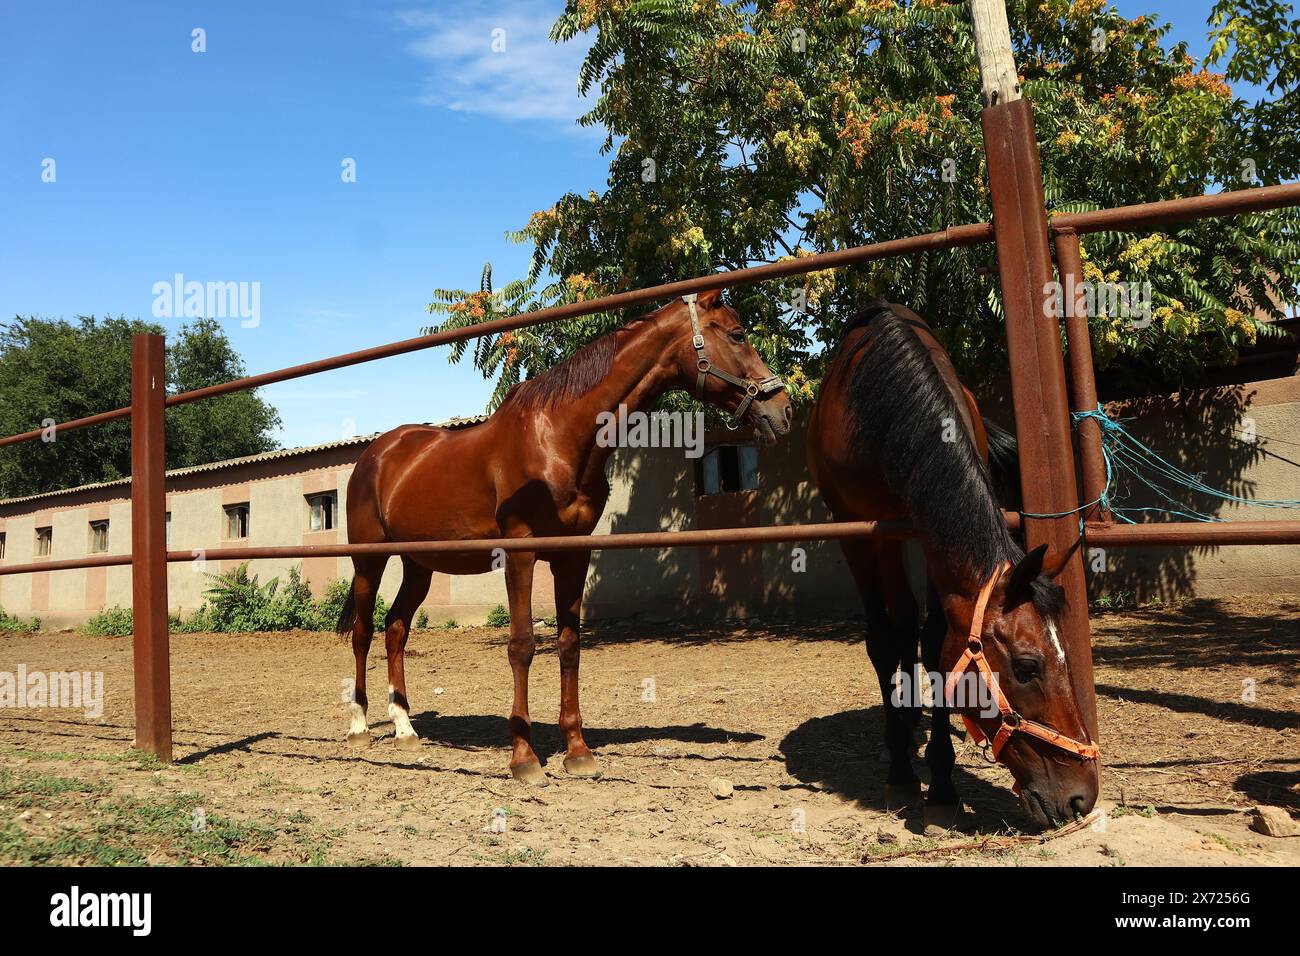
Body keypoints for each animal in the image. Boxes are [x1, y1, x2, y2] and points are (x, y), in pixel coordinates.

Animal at [338, 290, 790, 785]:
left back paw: (404, 727)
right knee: (363, 632)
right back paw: (359, 726)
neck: (557, 437)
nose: (783, 408)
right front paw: (524, 757)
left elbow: (570, 645)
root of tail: (376, 454)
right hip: (369, 560)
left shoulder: (573, 554)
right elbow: (521, 646)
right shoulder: (520, 553)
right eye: (737, 335)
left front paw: (577, 750)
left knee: (396, 629)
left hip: (419, 565)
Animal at [811, 300, 1097, 832]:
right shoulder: (857, 533)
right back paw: (899, 740)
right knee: (896, 630)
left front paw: (942, 783)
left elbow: (934, 643)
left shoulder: (930, 534)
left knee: (908, 626)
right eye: (1027, 667)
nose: (1081, 798)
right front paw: (906, 776)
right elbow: (883, 642)